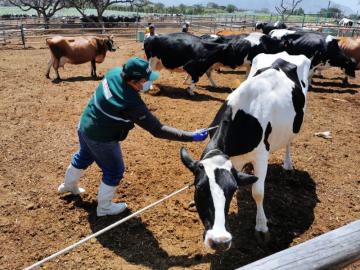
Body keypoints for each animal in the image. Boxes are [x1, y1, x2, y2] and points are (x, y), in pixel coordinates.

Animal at [181, 52, 310, 251]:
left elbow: (258, 191)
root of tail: (284, 54)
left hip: (296, 122)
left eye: (232, 189)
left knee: (289, 141)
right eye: (199, 188)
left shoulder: (261, 156)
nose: (219, 241)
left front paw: (262, 228)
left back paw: (288, 164)